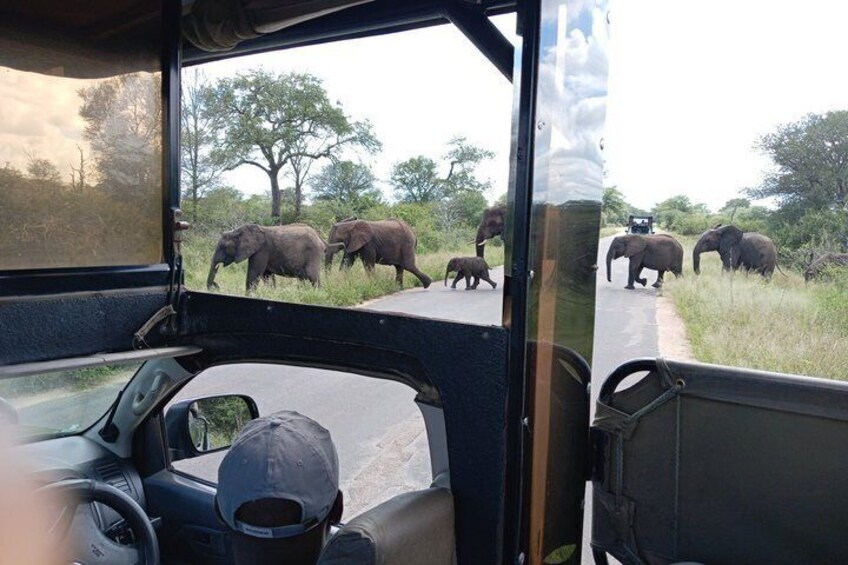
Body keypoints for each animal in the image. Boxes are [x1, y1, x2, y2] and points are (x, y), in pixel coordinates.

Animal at [207, 223, 343, 292]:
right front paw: (271, 293)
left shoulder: (261, 250)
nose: (216, 285)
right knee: (303, 278)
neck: (238, 231)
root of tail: (319, 237)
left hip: (313, 253)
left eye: (223, 247)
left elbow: (254, 273)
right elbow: (266, 275)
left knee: (312, 276)